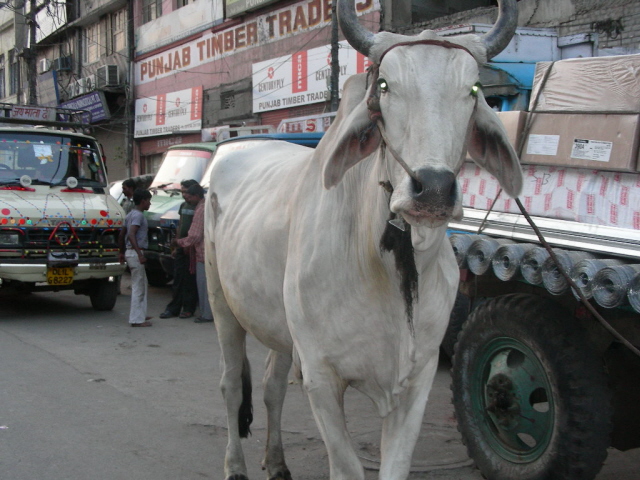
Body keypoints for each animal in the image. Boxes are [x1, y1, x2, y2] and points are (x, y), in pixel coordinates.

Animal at [206, 0, 524, 480]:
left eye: (472, 89)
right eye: (386, 86)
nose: (433, 189)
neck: (384, 267)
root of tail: (231, 150)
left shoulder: (418, 379)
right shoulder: (321, 377)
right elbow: (346, 466)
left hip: (280, 327)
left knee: (271, 385)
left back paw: (276, 462)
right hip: (222, 304)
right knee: (229, 386)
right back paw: (235, 465)